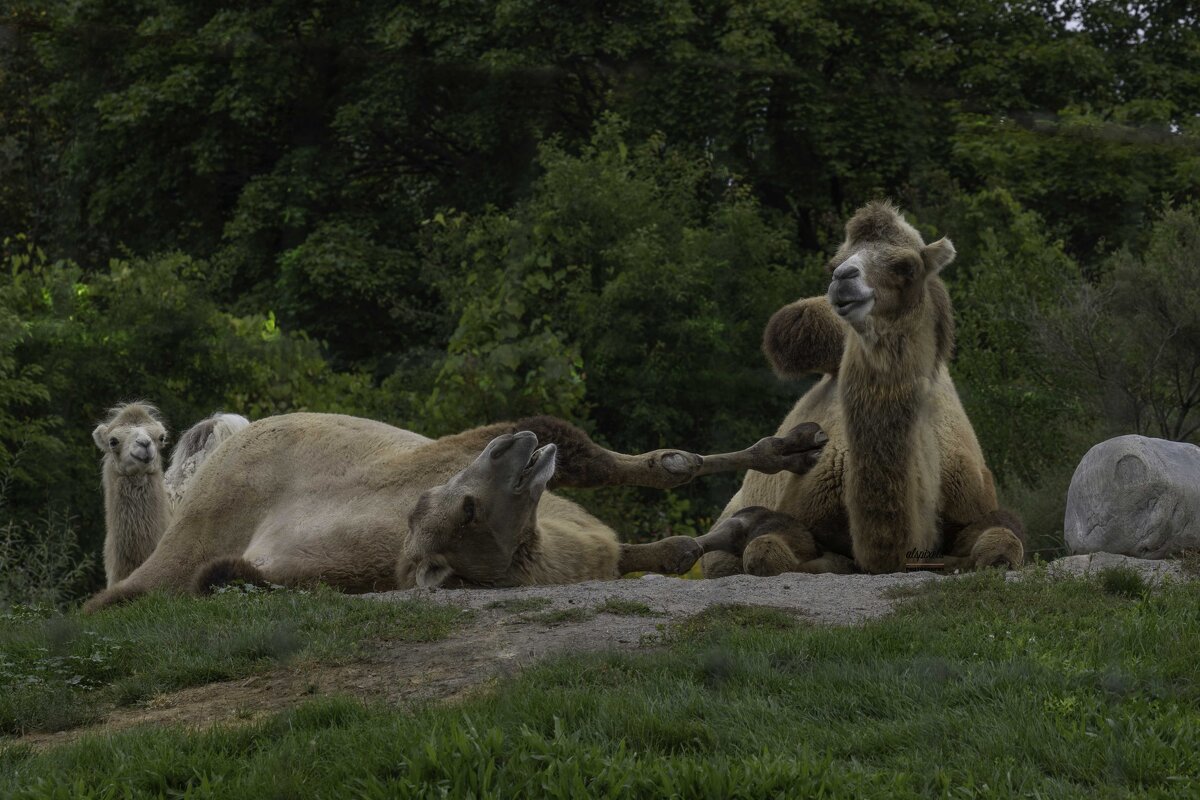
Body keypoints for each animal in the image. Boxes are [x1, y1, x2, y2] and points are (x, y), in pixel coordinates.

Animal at [700, 200, 1022, 575]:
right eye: (834, 263)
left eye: (906, 266)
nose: (842, 279)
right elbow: (765, 551)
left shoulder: (977, 503)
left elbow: (1002, 546)